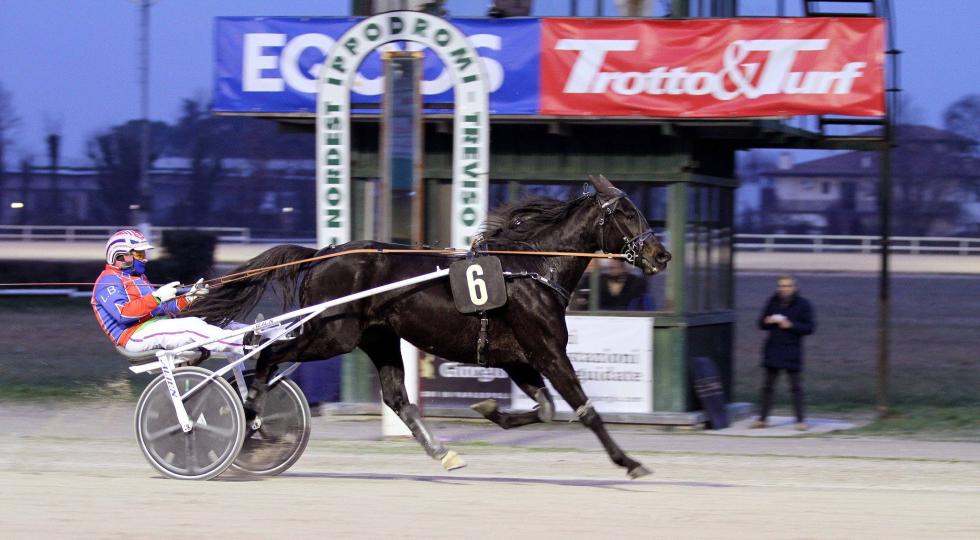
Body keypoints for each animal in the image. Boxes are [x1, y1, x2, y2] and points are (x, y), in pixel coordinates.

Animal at [181, 174, 672, 479]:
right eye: (628, 212)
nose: (661, 255)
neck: (532, 269)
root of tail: (323, 253)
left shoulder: (519, 359)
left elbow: (546, 410)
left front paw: (491, 411)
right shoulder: (548, 352)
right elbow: (585, 410)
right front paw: (630, 462)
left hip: (377, 338)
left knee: (397, 398)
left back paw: (443, 452)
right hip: (332, 333)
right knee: (267, 352)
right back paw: (250, 418)